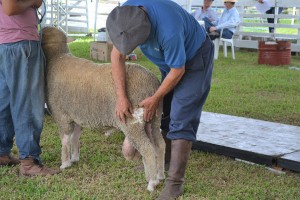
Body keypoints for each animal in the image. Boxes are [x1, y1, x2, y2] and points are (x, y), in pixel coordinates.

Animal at [41, 26, 165, 191]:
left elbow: (65, 140)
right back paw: (160, 175)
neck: (57, 57)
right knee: (160, 145)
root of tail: (152, 83)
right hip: (155, 118)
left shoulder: (62, 116)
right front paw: (75, 158)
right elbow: (75, 138)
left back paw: (152, 183)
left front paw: (65, 163)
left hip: (133, 122)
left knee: (148, 149)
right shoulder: (77, 116)